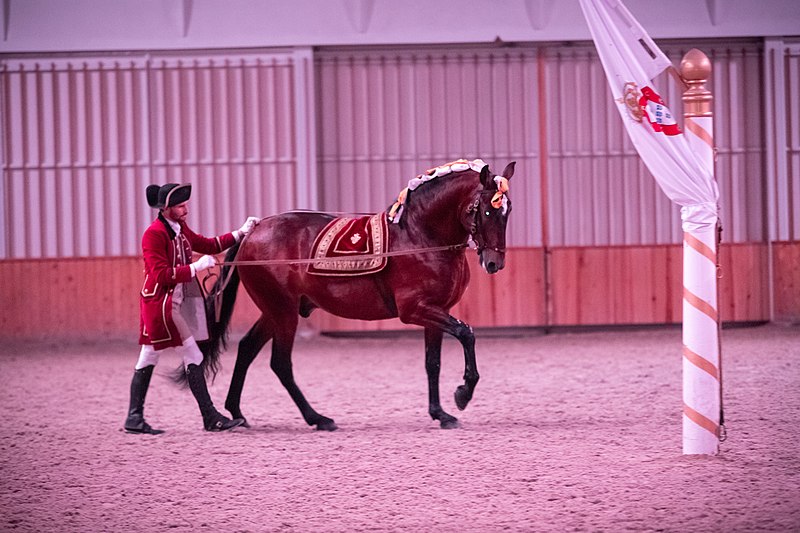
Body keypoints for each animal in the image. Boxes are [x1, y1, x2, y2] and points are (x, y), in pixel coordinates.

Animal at [199, 160, 512, 430]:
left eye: (507, 212)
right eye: (486, 210)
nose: (494, 263)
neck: (420, 237)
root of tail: (252, 232)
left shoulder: (436, 312)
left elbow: (432, 363)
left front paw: (440, 414)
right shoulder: (415, 310)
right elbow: (467, 333)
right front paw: (463, 393)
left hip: (275, 311)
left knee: (247, 349)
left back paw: (237, 412)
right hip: (283, 312)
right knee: (280, 363)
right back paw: (318, 418)